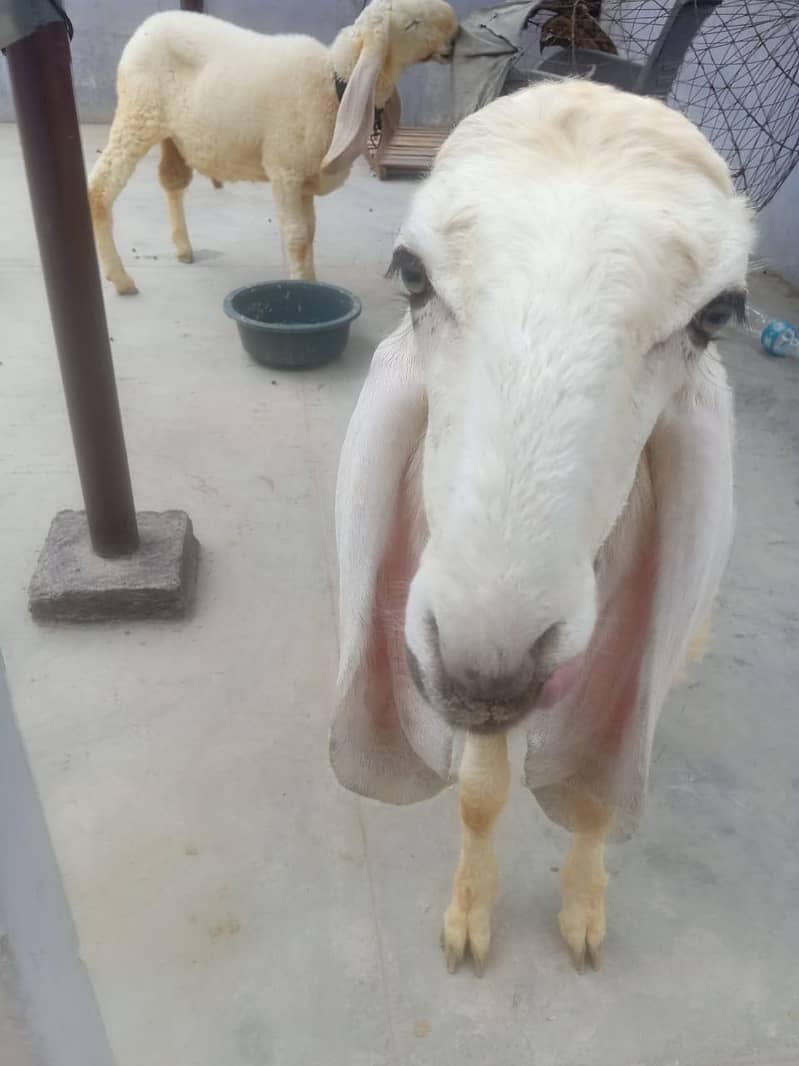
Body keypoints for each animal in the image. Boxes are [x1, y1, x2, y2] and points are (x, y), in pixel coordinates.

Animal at [87, 0, 457, 295]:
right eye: (412, 24)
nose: (455, 35)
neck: (333, 85)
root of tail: (148, 24)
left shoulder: (303, 179)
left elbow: (309, 234)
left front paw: (310, 283)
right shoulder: (285, 171)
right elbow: (296, 237)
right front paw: (302, 287)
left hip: (173, 135)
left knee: (172, 181)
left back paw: (183, 248)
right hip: (137, 114)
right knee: (100, 189)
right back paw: (120, 278)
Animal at [330, 80, 754, 976]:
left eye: (716, 315)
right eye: (410, 276)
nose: (488, 660)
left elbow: (594, 801)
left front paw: (583, 914)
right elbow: (480, 792)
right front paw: (468, 918)